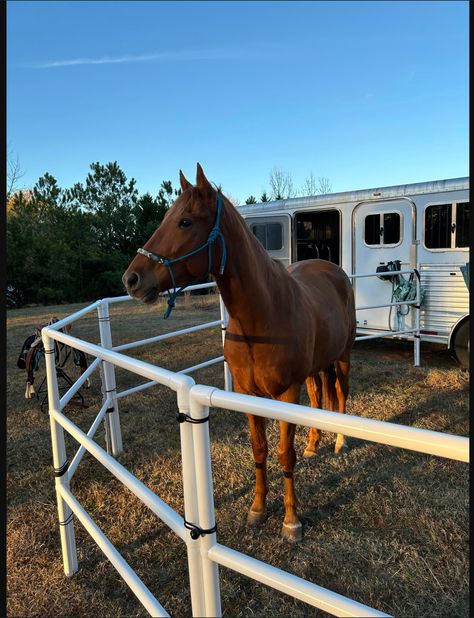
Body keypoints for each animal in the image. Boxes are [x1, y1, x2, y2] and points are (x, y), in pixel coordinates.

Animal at [123, 164, 356, 540]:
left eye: (185, 221)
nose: (131, 279)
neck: (261, 317)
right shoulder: (248, 394)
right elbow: (259, 450)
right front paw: (257, 509)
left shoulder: (286, 394)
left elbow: (284, 454)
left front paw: (291, 521)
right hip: (315, 368)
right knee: (319, 394)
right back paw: (314, 443)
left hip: (344, 356)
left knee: (341, 393)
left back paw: (339, 441)